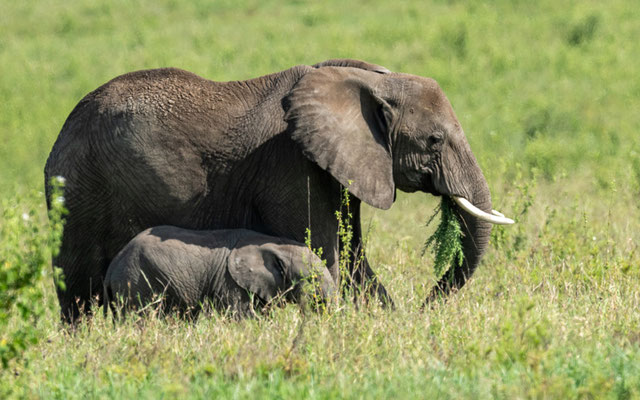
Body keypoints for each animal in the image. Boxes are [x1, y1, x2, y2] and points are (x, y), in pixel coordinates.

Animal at [105, 227, 336, 318]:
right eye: (313, 279)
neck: (276, 244)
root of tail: (111, 268)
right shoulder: (229, 282)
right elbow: (243, 317)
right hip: (135, 281)